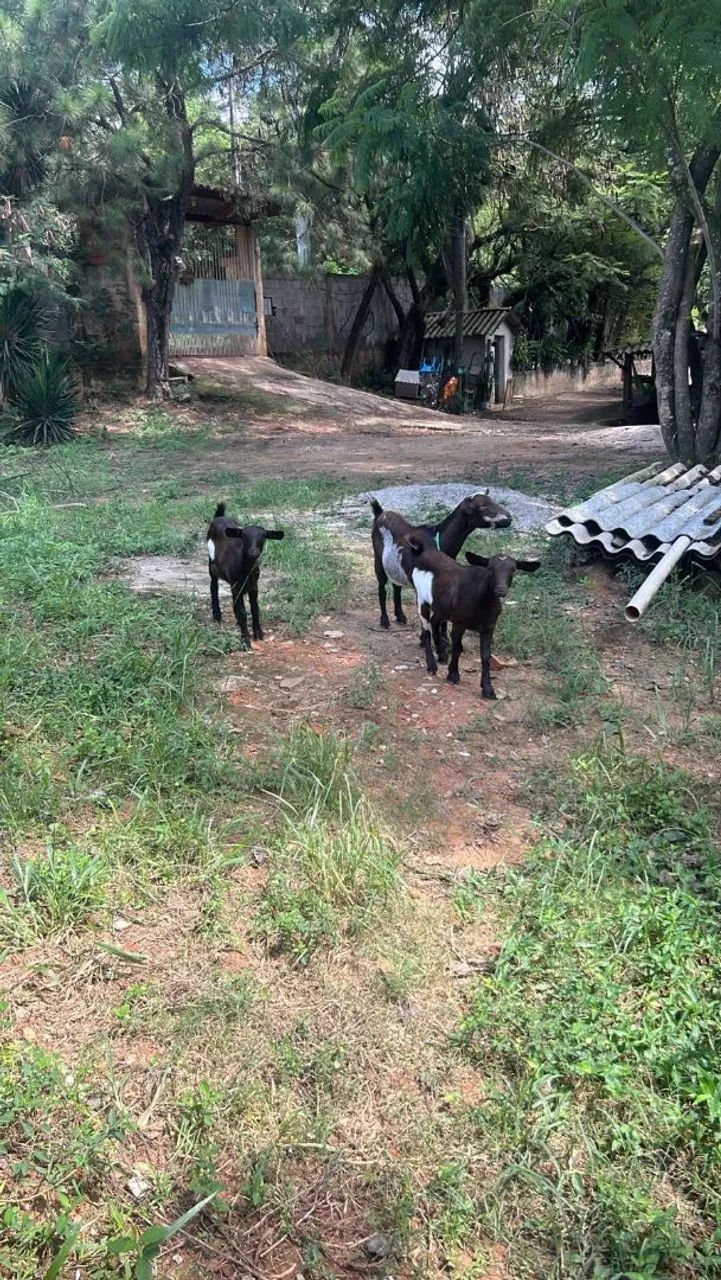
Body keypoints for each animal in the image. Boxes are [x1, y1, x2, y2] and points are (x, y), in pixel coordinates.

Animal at [207, 502, 284, 648]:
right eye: (244, 536)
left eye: (263, 536)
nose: (253, 552)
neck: (246, 569)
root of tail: (219, 517)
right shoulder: (236, 585)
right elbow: (243, 613)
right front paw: (245, 640)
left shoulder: (254, 586)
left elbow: (255, 609)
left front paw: (258, 634)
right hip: (212, 564)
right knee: (213, 586)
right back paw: (217, 615)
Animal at [370, 492, 512, 631]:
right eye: (483, 506)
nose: (509, 517)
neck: (438, 540)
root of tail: (381, 513)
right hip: (378, 559)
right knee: (382, 588)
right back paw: (384, 620)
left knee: (396, 586)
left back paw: (400, 616)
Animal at [402, 539, 540, 699]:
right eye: (490, 569)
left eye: (513, 570)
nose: (500, 590)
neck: (482, 601)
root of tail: (422, 552)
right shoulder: (459, 622)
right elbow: (457, 648)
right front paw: (453, 675)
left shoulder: (489, 627)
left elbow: (485, 656)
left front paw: (488, 689)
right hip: (421, 597)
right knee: (426, 628)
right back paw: (432, 665)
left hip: (441, 605)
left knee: (435, 621)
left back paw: (442, 655)